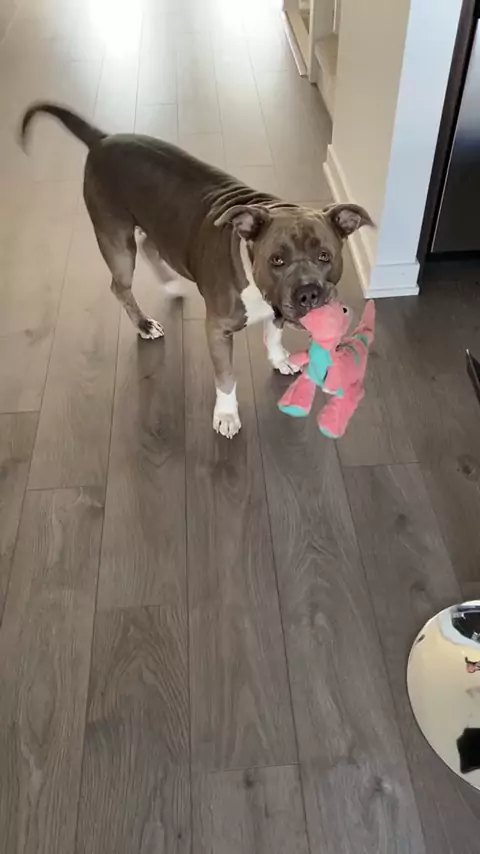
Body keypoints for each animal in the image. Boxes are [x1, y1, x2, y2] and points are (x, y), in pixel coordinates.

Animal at [20, 103, 373, 438]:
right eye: (277, 260)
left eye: (325, 256)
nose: (308, 292)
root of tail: (102, 139)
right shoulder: (217, 330)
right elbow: (226, 378)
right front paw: (227, 415)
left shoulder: (275, 309)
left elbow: (272, 334)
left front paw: (280, 359)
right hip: (116, 240)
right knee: (120, 285)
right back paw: (144, 324)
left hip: (158, 227)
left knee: (149, 245)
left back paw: (172, 285)